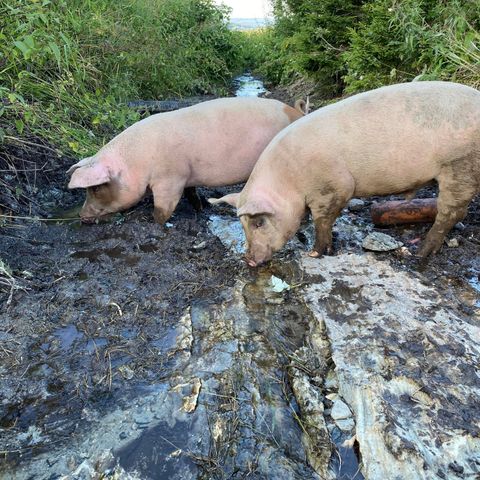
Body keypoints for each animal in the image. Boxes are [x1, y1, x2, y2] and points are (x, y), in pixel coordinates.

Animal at [67, 98, 306, 225]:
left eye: (96, 188)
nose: (82, 216)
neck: (135, 162)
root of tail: (296, 113)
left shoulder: (170, 178)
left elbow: (164, 206)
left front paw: (156, 221)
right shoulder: (187, 177)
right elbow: (191, 193)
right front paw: (200, 208)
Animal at [212, 80, 480, 264]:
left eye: (258, 222)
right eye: (243, 225)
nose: (248, 259)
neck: (288, 180)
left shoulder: (334, 186)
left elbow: (323, 221)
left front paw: (315, 253)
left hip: (460, 166)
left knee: (451, 212)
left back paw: (420, 254)